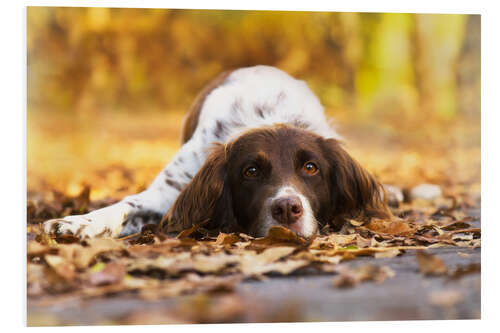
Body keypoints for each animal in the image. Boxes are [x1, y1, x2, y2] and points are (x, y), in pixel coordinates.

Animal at [43, 65, 388, 239]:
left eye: (311, 168)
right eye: (251, 171)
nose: (288, 209)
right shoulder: (170, 190)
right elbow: (125, 206)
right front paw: (76, 223)